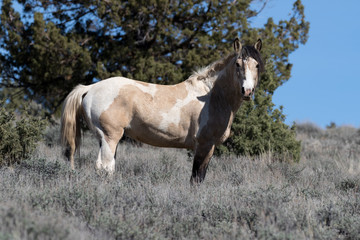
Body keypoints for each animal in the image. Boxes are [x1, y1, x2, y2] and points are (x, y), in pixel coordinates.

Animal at [60, 38, 264, 184]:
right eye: (237, 64)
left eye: (257, 65)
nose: (247, 91)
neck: (212, 95)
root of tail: (90, 88)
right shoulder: (205, 145)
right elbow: (196, 178)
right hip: (110, 137)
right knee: (105, 168)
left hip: (106, 139)